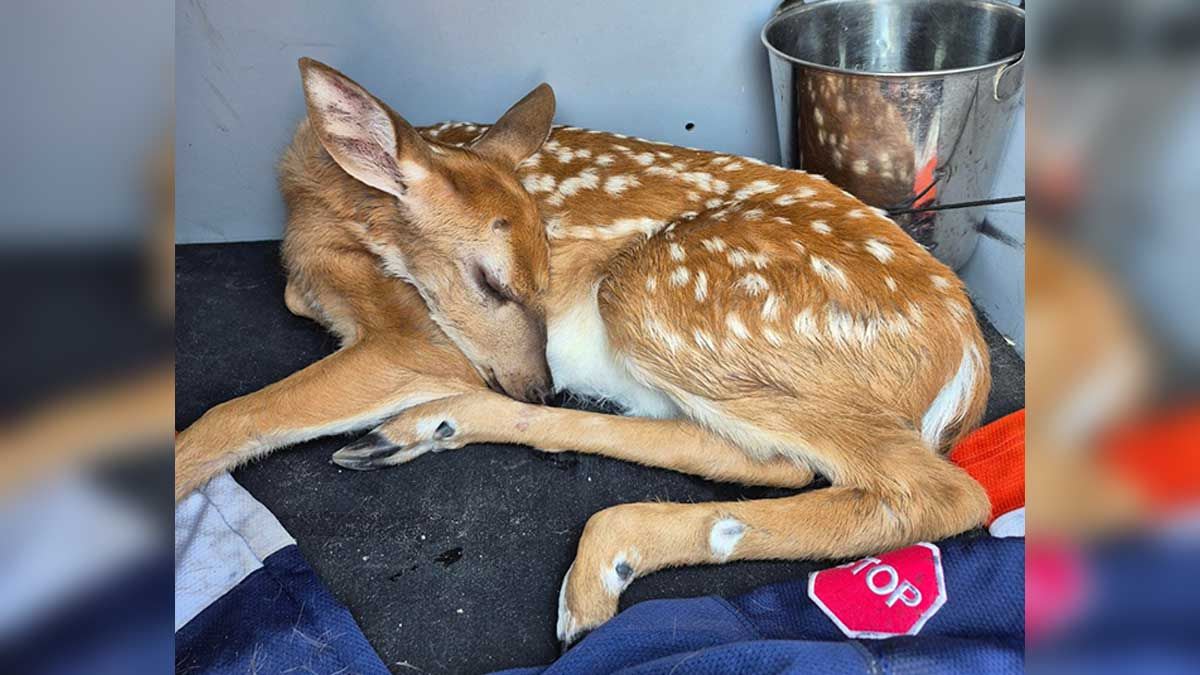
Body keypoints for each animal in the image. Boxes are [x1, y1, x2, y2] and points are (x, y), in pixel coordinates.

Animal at [175, 58, 992, 648]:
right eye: (493, 281)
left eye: (536, 276)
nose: (538, 383)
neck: (324, 213)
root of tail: (968, 359)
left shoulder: (419, 341)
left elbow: (231, 417)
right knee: (768, 458)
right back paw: (424, 433)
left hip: (660, 292)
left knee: (934, 493)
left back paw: (599, 556)